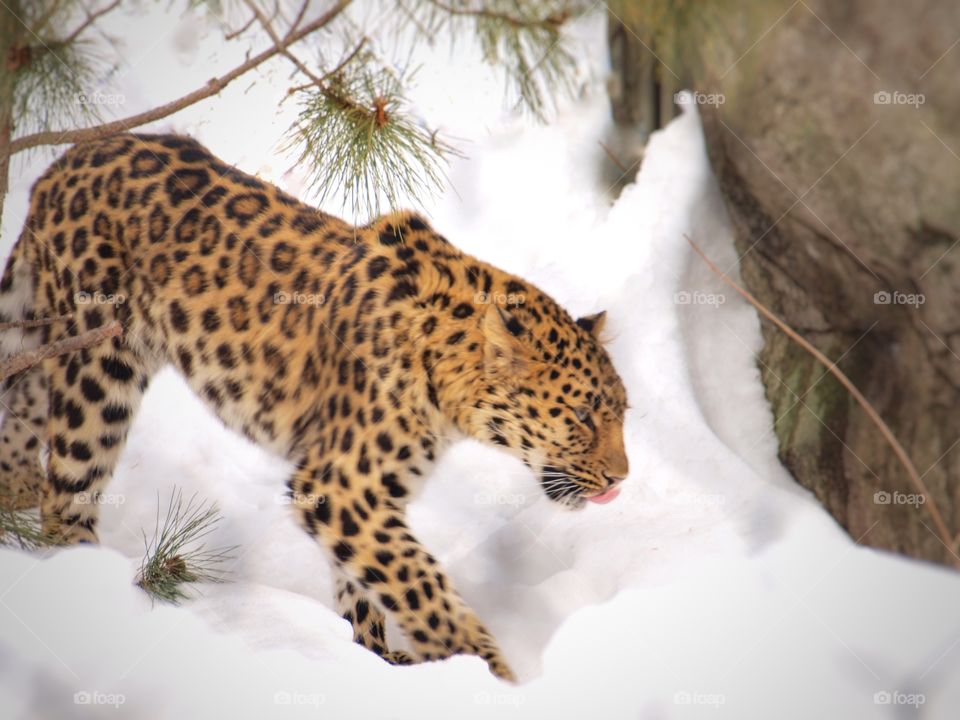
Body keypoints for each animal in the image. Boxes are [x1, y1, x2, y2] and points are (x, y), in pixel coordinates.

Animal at [0, 133, 630, 681]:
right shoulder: (343, 483)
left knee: (22, 420)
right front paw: (486, 671)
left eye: (622, 413)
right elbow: (419, 581)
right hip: (97, 368)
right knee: (67, 494)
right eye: (582, 416)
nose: (621, 479)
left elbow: (366, 581)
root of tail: (69, 158)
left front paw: (379, 658)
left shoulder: (361, 495)